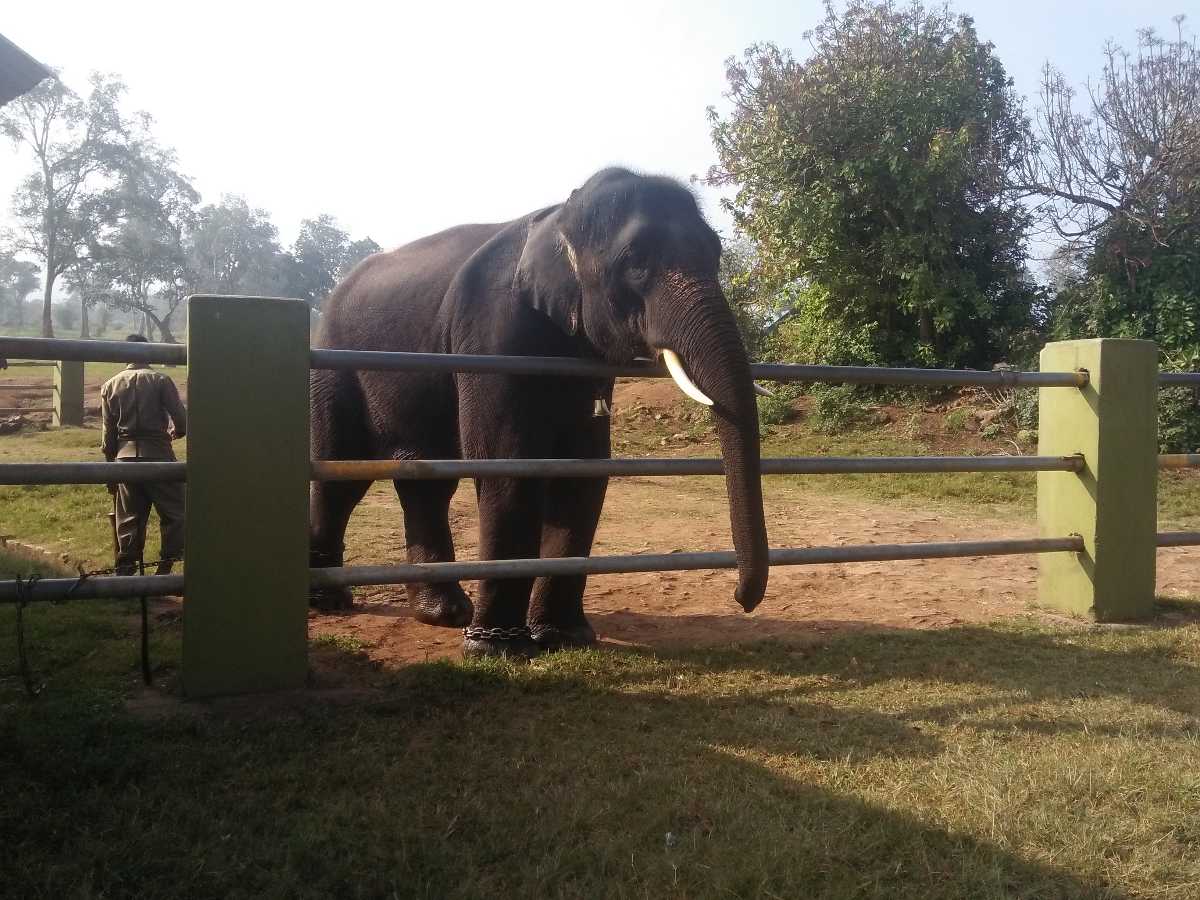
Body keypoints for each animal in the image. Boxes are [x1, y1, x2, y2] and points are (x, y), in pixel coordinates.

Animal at [309, 169, 768, 657]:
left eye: (715, 256)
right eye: (636, 262)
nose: (741, 599)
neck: (559, 216)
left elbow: (583, 469)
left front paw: (564, 638)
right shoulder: (490, 335)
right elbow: (510, 464)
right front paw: (496, 650)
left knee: (426, 480)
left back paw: (446, 614)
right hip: (334, 367)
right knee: (342, 475)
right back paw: (332, 603)